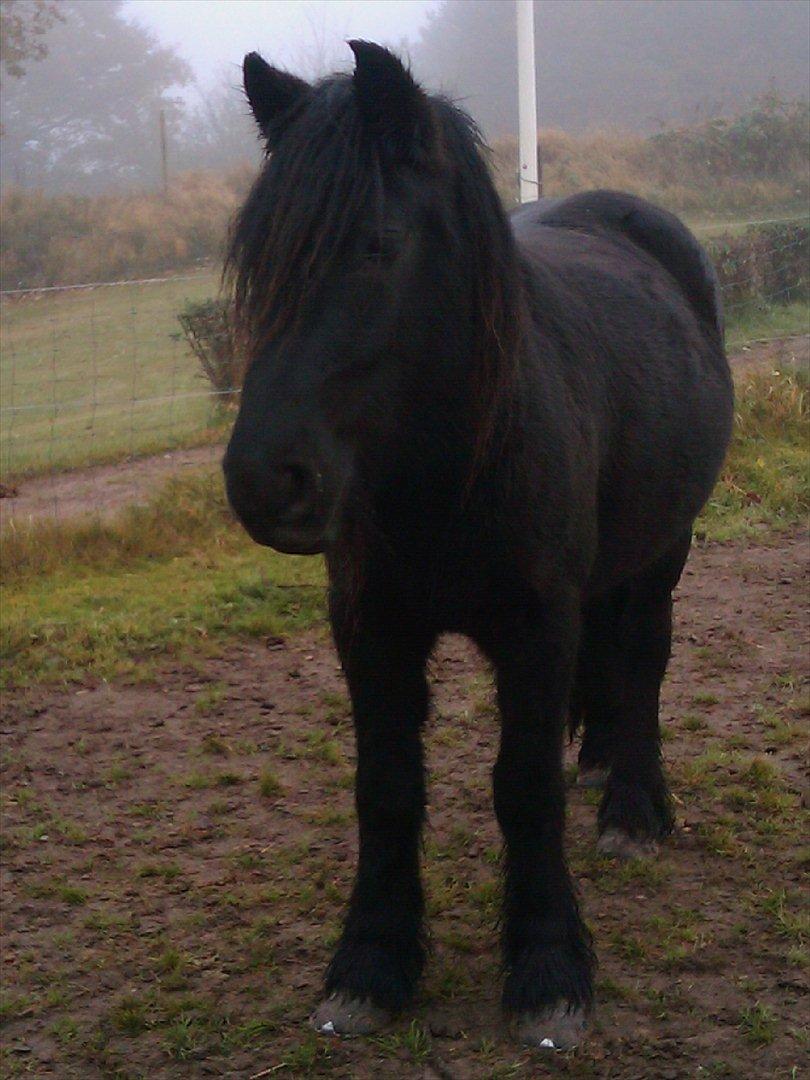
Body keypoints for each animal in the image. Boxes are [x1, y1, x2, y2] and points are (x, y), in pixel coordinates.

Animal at [222, 42, 733, 1049]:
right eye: (259, 263)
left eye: (376, 246)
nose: (266, 480)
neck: (450, 467)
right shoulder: (370, 630)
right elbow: (386, 789)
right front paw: (370, 965)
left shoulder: (535, 630)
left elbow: (522, 787)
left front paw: (547, 967)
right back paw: (602, 760)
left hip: (664, 549)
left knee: (645, 658)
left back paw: (632, 806)